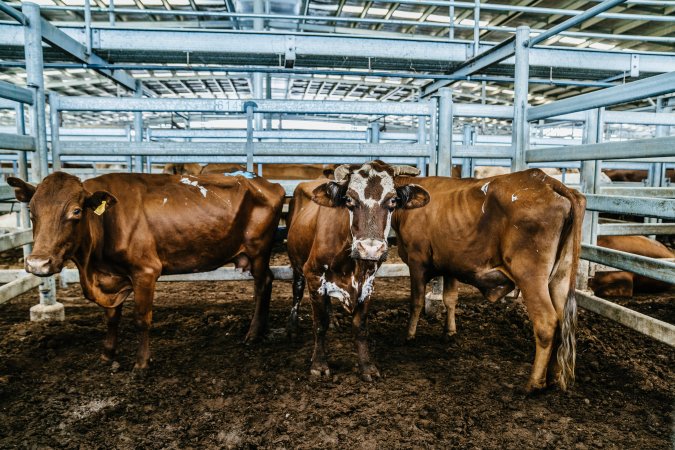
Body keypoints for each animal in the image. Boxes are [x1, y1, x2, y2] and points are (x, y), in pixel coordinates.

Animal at [9, 171, 286, 370]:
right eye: (31, 212)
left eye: (76, 211)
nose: (38, 263)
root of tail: (263, 182)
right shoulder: (112, 276)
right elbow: (112, 317)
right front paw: (107, 354)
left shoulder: (145, 271)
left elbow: (142, 318)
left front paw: (141, 364)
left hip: (258, 250)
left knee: (264, 283)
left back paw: (253, 334)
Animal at [286, 161, 428, 380]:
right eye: (349, 199)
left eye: (393, 200)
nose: (370, 249)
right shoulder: (314, 274)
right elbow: (319, 324)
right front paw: (319, 364)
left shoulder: (368, 283)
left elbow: (360, 326)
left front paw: (366, 366)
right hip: (297, 264)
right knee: (297, 291)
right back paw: (292, 327)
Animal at [390, 170, 588, 394]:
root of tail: (545, 180)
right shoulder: (450, 264)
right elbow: (450, 299)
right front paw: (449, 331)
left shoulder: (416, 262)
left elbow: (416, 301)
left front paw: (408, 336)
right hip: (560, 277)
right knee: (563, 321)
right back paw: (554, 376)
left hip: (531, 276)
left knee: (546, 322)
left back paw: (533, 383)